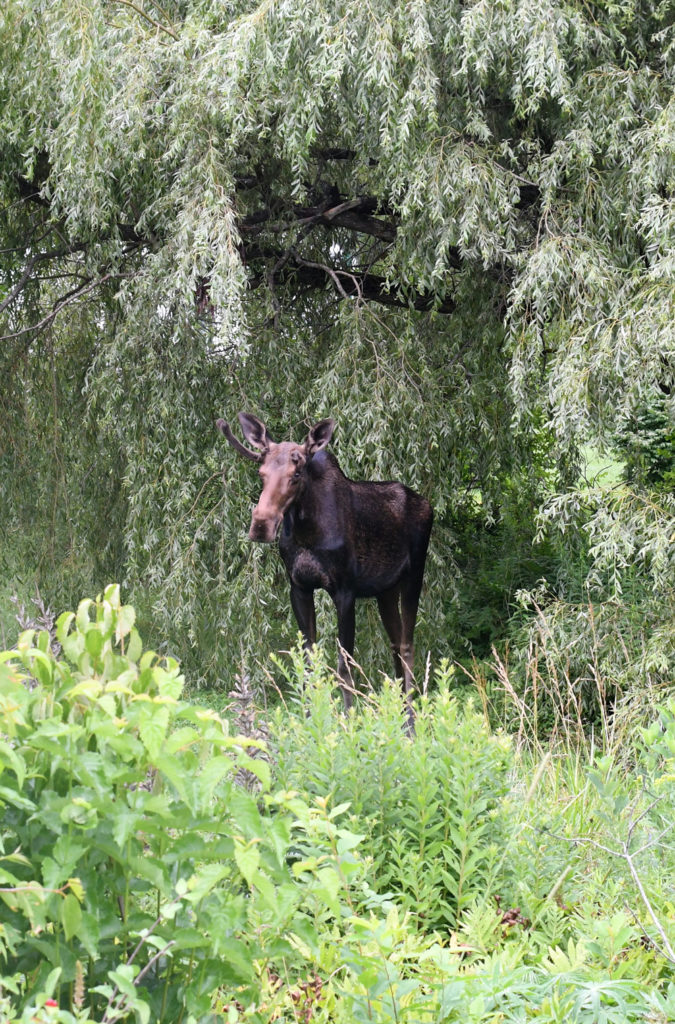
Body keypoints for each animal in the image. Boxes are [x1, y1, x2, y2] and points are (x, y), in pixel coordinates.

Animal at [217, 413, 433, 730]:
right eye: (261, 473)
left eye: (296, 475)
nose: (261, 525)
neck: (307, 530)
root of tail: (428, 505)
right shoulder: (299, 587)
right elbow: (308, 664)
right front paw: (308, 723)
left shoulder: (345, 591)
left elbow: (344, 665)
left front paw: (350, 723)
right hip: (385, 591)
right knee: (395, 645)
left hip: (414, 575)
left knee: (407, 646)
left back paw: (411, 725)